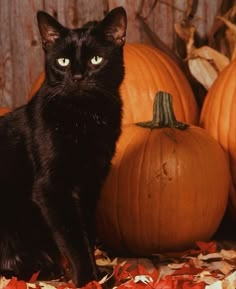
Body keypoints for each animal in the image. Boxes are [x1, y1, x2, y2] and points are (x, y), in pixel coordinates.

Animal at [0, 6, 126, 286]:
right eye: (63, 62)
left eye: (96, 60)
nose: (77, 77)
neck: (84, 117)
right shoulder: (51, 187)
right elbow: (72, 237)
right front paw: (87, 279)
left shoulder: (90, 184)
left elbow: (87, 232)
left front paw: (98, 276)